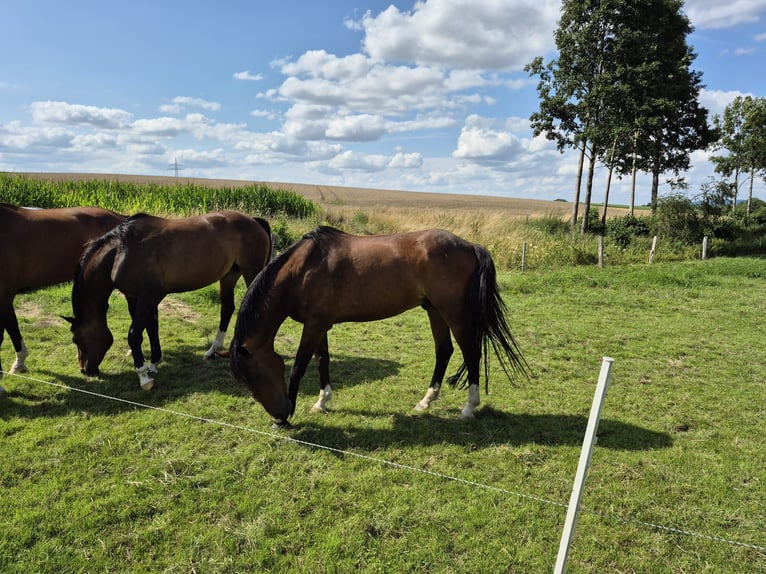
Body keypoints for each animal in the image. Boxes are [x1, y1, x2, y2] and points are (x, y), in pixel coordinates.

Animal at [67, 211, 273, 390]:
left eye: (77, 339)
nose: (85, 371)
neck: (121, 252)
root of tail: (253, 221)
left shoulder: (149, 296)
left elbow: (135, 334)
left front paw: (143, 376)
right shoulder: (135, 297)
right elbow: (150, 328)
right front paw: (153, 363)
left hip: (251, 272)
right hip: (230, 275)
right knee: (227, 308)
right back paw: (212, 351)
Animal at [229, 225, 529, 426]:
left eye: (256, 375)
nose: (278, 414)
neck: (302, 270)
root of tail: (470, 246)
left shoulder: (314, 326)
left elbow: (300, 366)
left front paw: (292, 413)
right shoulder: (320, 324)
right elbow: (322, 360)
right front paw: (322, 402)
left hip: (453, 312)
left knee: (471, 352)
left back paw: (468, 408)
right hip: (434, 310)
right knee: (444, 351)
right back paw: (426, 401)